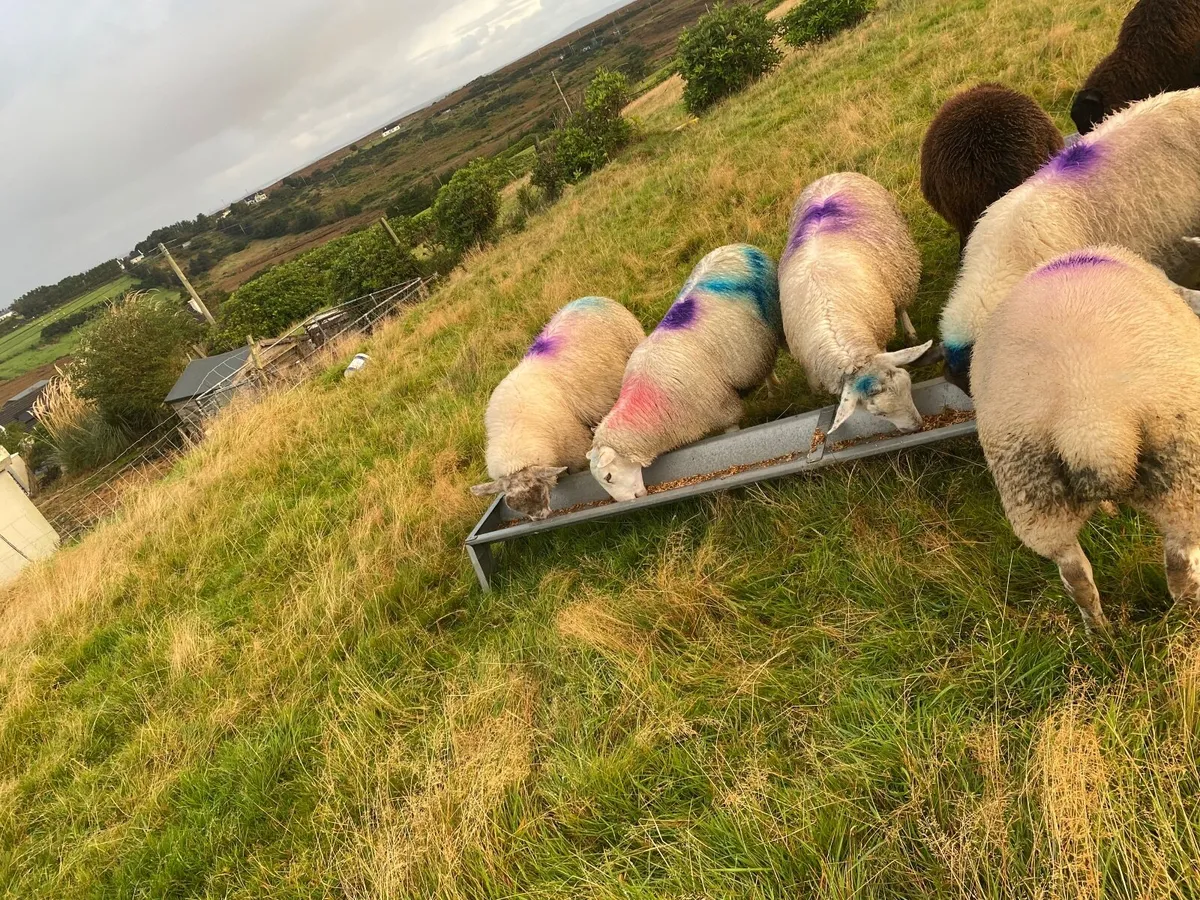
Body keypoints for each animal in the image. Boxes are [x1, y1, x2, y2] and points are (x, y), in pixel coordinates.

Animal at [471, 296, 645, 520]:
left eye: (539, 490)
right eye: (514, 506)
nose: (540, 518)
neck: (513, 428)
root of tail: (589, 297)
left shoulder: (574, 448)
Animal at [779, 172, 933, 435]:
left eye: (909, 384)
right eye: (879, 413)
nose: (917, 427)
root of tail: (831, 176)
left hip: (899, 267)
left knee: (900, 305)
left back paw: (910, 333)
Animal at [973, 245, 1200, 632]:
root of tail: (1089, 420)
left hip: (1033, 490)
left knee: (1075, 575)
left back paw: (1098, 631)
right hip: (1183, 470)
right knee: (1181, 565)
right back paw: (1188, 620)